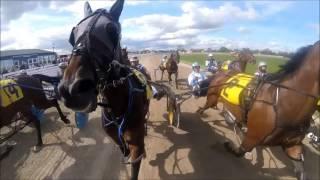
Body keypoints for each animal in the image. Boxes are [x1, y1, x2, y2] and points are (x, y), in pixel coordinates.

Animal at [58, 0, 149, 179]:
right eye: (73, 35)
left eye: (113, 30)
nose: (71, 89)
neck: (118, 105)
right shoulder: (114, 136)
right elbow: (123, 148)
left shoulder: (137, 144)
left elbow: (135, 157)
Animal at [212, 41, 320, 179]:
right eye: (244, 53)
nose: (253, 59)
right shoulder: (252, 138)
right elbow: (240, 151)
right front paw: (228, 144)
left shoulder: (293, 145)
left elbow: (300, 170)